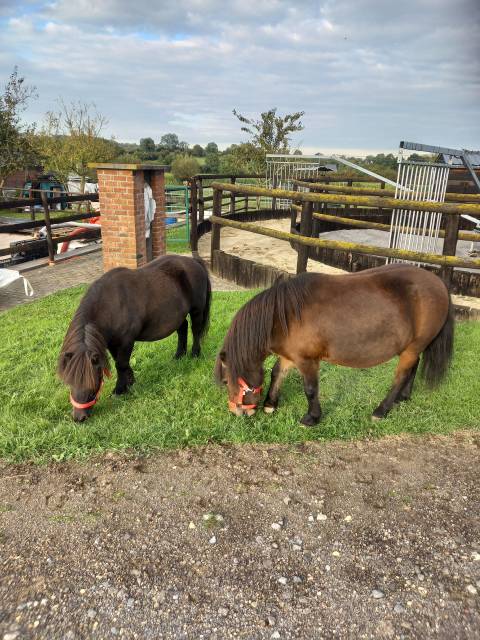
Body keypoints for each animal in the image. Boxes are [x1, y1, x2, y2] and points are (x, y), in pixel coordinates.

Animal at [58, 254, 211, 422]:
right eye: (69, 381)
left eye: (94, 382)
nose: (79, 418)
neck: (110, 304)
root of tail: (194, 261)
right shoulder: (113, 343)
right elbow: (120, 363)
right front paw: (129, 382)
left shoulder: (126, 341)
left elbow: (121, 364)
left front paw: (119, 390)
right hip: (178, 315)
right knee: (182, 329)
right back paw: (178, 356)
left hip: (197, 310)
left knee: (195, 331)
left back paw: (194, 354)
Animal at [215, 264, 454, 425]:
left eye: (226, 382)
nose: (238, 412)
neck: (285, 316)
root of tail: (439, 283)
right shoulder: (290, 356)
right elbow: (276, 374)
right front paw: (270, 404)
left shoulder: (307, 361)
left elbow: (310, 389)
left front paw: (312, 417)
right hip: (412, 347)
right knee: (414, 367)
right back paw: (403, 397)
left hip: (411, 349)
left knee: (401, 376)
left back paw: (382, 410)